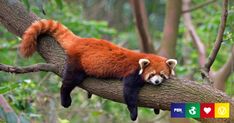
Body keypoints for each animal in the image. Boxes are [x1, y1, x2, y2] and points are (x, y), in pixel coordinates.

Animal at [20, 19, 177, 121]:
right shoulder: (132, 74)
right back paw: (65, 99)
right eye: (152, 74)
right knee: (70, 80)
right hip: (77, 63)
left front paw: (156, 109)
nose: (156, 82)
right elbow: (129, 92)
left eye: (162, 74)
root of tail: (80, 40)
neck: (142, 58)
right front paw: (133, 114)